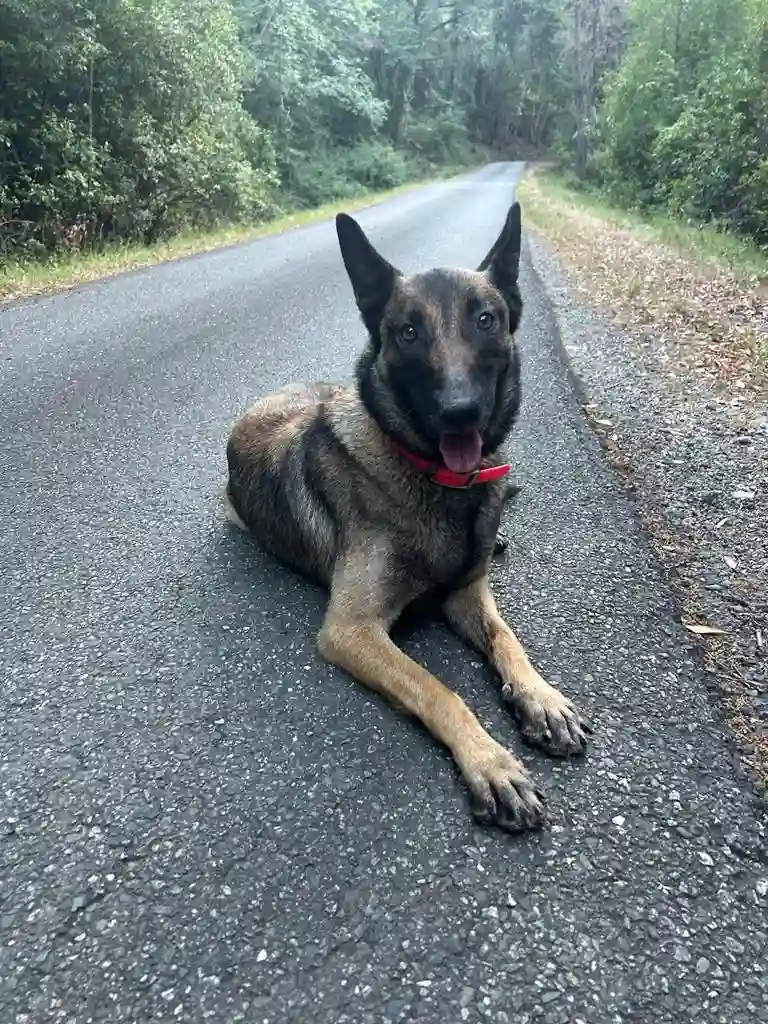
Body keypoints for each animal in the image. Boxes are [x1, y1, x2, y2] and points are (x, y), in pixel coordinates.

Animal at [225, 201, 593, 831]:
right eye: (409, 331)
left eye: (486, 320)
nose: (460, 411)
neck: (435, 479)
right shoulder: (352, 630)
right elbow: (439, 689)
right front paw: (491, 761)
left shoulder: (468, 594)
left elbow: (508, 641)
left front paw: (541, 697)